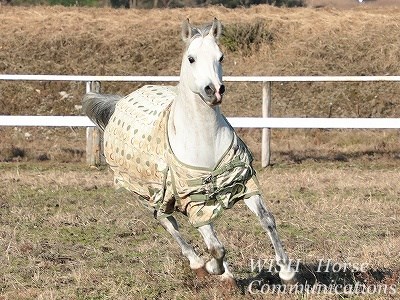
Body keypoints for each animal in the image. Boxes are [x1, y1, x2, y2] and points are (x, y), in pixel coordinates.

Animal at [82, 18, 294, 286]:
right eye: (191, 58)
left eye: (221, 57)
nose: (214, 90)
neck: (205, 140)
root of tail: (121, 101)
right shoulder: (192, 197)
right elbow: (215, 247)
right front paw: (214, 268)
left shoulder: (243, 183)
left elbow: (267, 220)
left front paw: (287, 272)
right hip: (147, 194)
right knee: (169, 223)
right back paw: (200, 265)